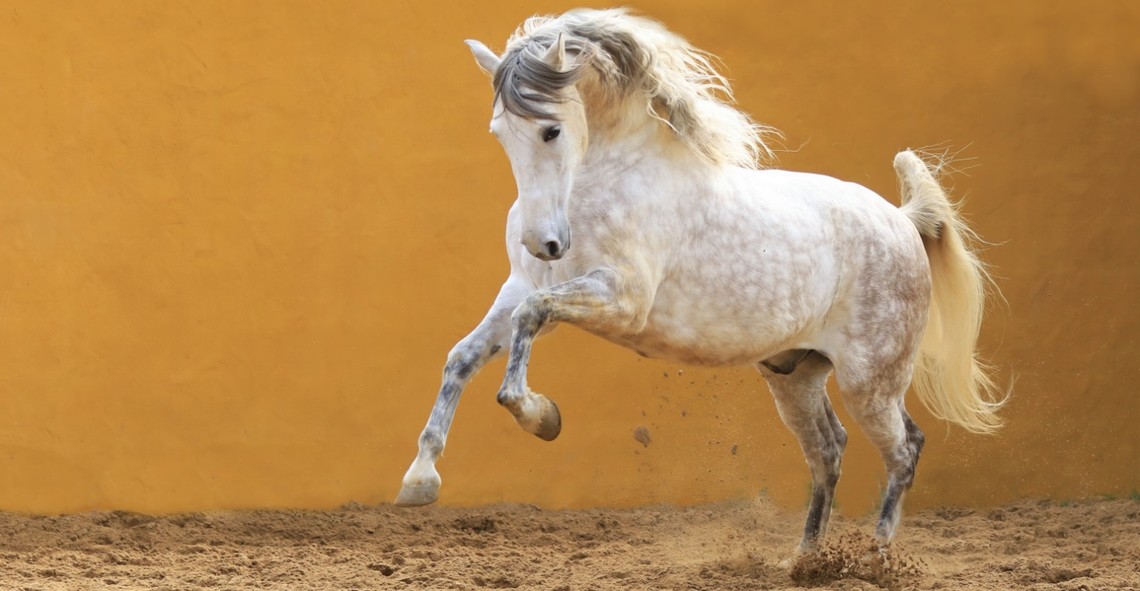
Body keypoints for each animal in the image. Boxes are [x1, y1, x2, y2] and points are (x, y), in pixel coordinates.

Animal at [394, 8, 1007, 556]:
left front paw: (542, 418)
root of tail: (902, 221)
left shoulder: (621, 299)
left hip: (871, 381)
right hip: (794, 376)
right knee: (829, 450)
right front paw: (419, 481)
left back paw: (876, 559)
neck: (610, 177)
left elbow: (527, 328)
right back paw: (806, 560)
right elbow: (464, 356)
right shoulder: (522, 286)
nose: (543, 243)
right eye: (500, 133)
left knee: (904, 450)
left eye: (551, 130)